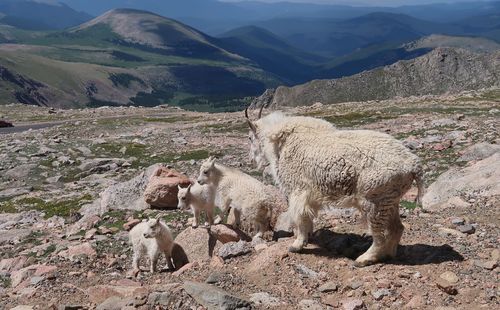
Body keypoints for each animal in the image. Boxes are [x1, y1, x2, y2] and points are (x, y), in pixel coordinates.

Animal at [245, 109, 422, 266]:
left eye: (249, 137)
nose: (251, 160)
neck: (280, 142)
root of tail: (413, 165)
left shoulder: (298, 191)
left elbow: (300, 218)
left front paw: (297, 245)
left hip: (374, 200)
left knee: (379, 235)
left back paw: (365, 259)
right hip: (390, 199)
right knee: (397, 228)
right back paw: (388, 254)